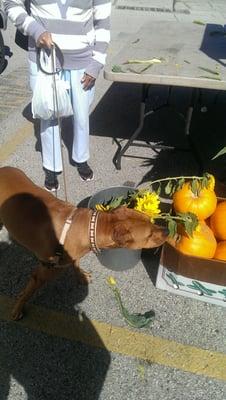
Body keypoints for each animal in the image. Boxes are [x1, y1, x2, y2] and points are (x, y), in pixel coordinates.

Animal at [0, 166, 168, 318]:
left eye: (150, 219)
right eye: (149, 235)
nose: (167, 231)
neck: (90, 228)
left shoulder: (73, 255)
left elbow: (76, 264)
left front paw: (81, 276)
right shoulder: (42, 273)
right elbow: (27, 293)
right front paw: (18, 308)